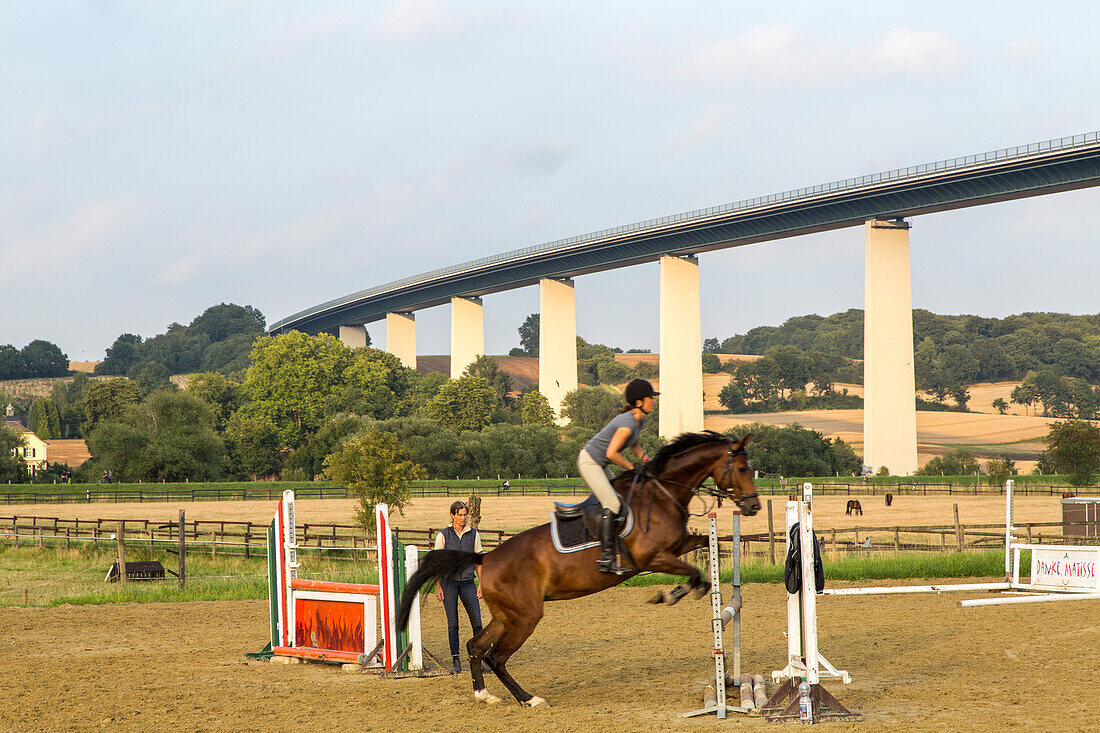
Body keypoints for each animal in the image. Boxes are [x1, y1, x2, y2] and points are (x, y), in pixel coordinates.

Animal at [393, 431, 756, 704]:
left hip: (506, 614)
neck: (662, 492)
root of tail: (484, 559)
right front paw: (669, 595)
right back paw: (528, 699)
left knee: (476, 647)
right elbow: (693, 575)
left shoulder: (676, 546)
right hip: (525, 617)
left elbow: (705, 549)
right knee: (495, 657)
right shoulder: (652, 557)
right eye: (741, 468)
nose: (753, 507)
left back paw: (484, 695)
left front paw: (697, 582)